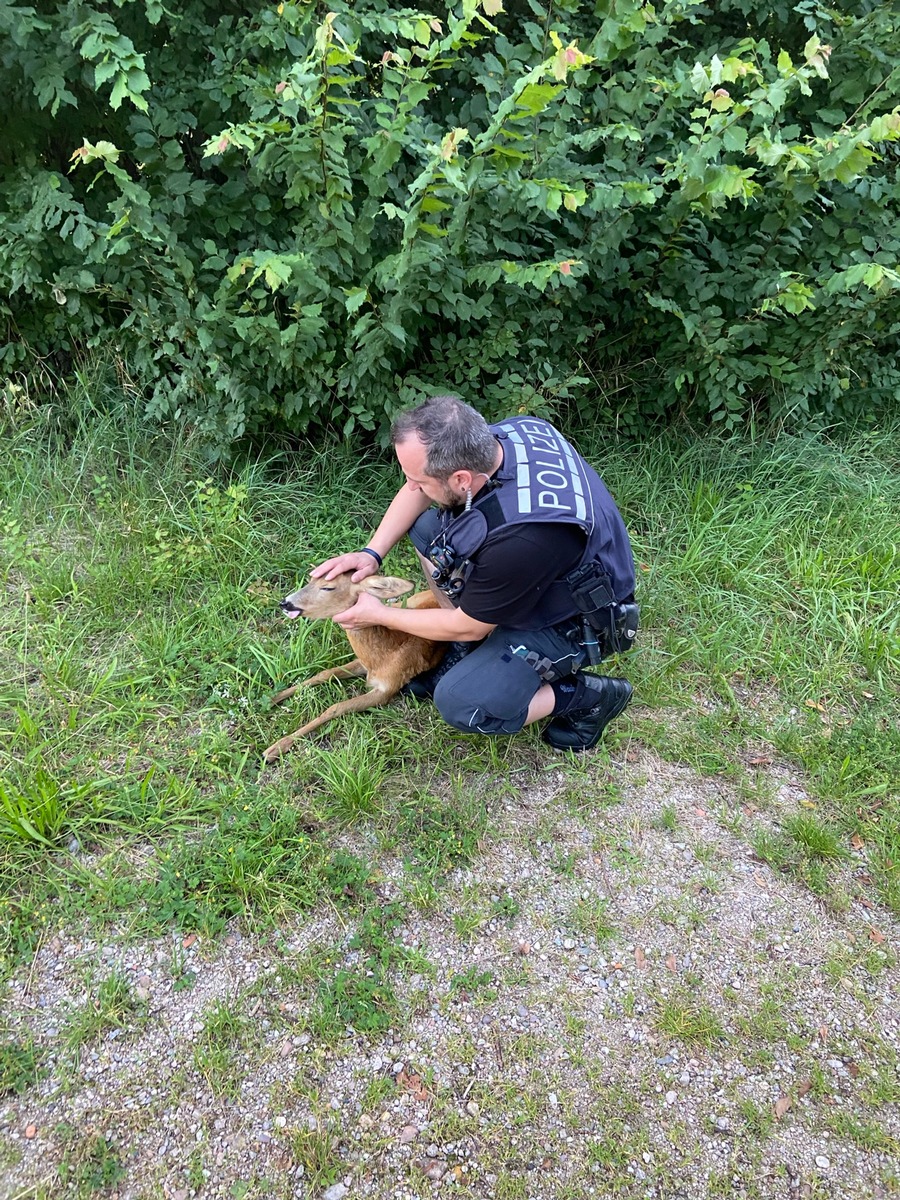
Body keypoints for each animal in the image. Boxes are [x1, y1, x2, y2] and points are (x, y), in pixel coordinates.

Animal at [260, 568, 448, 758]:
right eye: (310, 580)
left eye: (328, 587)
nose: (285, 603)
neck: (384, 655)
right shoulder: (362, 664)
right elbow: (325, 673)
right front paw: (272, 698)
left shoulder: (387, 689)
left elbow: (336, 707)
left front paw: (276, 747)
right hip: (409, 602)